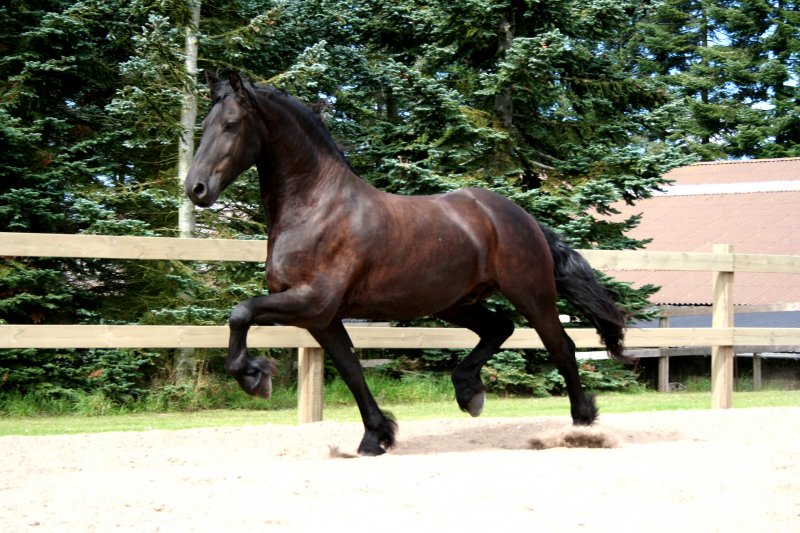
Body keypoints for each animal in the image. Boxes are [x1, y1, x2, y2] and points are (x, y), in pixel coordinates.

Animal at [185, 71, 627, 456]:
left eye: (231, 125)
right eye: (204, 124)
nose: (196, 188)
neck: (316, 207)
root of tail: (520, 216)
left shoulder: (313, 302)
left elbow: (241, 313)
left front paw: (255, 376)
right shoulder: (322, 319)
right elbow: (351, 370)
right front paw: (376, 437)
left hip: (530, 293)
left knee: (562, 347)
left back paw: (582, 423)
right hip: (455, 302)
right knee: (499, 328)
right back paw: (469, 392)